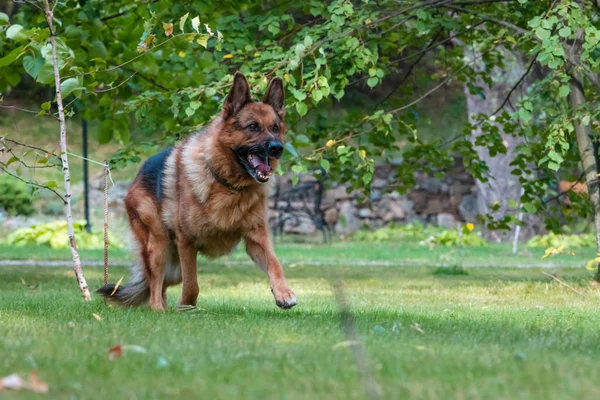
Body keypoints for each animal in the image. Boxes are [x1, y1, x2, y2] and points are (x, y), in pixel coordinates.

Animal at [97, 73, 298, 310]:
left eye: (275, 127)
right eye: (252, 126)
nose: (277, 148)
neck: (228, 185)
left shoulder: (256, 238)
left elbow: (275, 264)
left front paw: (283, 292)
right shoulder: (187, 241)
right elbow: (192, 284)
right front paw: (185, 307)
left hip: (172, 268)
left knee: (161, 286)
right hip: (159, 246)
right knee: (154, 287)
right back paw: (159, 311)